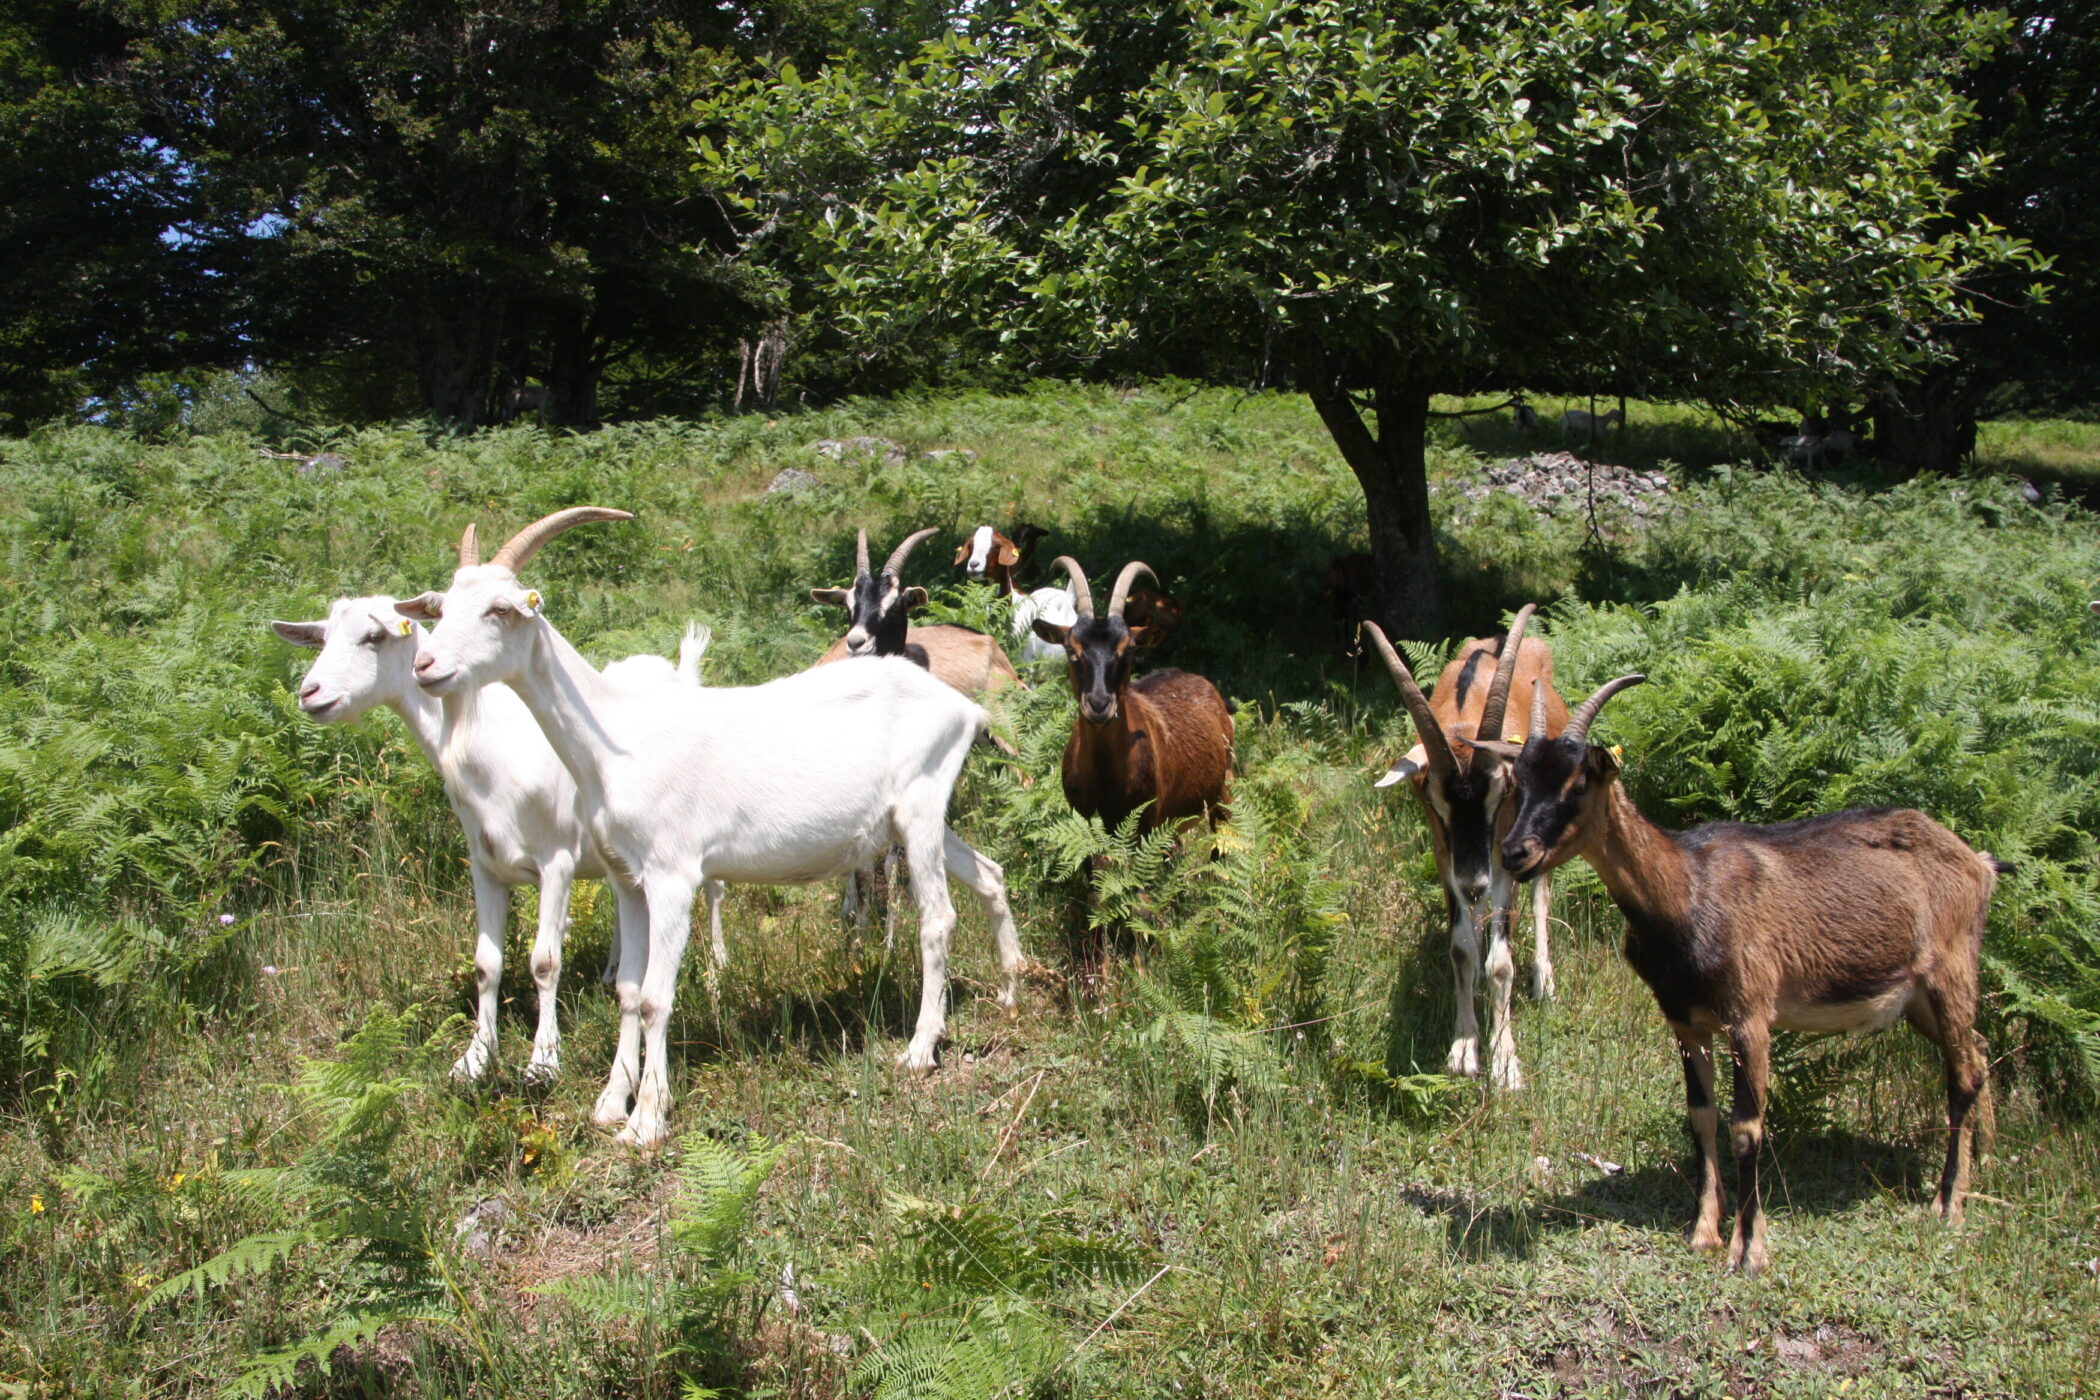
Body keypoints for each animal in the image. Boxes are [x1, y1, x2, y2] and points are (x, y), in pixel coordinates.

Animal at [272, 556, 722, 1084]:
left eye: (374, 636)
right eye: (322, 639)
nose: (310, 693)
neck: (491, 748)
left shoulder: (557, 860)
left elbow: (545, 961)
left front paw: (543, 1060)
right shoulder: (483, 863)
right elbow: (486, 963)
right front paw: (474, 1059)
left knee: (713, 890)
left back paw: (717, 971)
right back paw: (614, 969)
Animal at [1031, 557, 1233, 836]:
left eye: (1129, 650)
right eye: (1071, 650)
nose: (1099, 705)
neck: (1105, 783)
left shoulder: (1149, 824)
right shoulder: (1085, 820)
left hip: (1221, 792)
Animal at [1362, 607, 1564, 1089]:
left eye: (1502, 791)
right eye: (1432, 798)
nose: (1474, 882)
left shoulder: (1504, 861)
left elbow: (1501, 963)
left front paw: (1505, 1062)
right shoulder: (1445, 857)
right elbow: (1461, 949)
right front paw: (1464, 1048)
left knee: (1541, 895)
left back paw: (1543, 981)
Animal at [1476, 676, 2000, 1275]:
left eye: (1580, 781)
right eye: (1521, 779)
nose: (1515, 852)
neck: (1687, 893)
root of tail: (1978, 863)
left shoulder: (1750, 1015)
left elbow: (1746, 1128)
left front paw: (1750, 1249)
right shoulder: (1684, 1018)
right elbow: (1701, 1117)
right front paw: (1704, 1231)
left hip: (1951, 968)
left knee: (1963, 1072)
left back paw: (1948, 1205)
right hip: (1914, 996)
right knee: (1978, 1052)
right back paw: (1982, 1168)